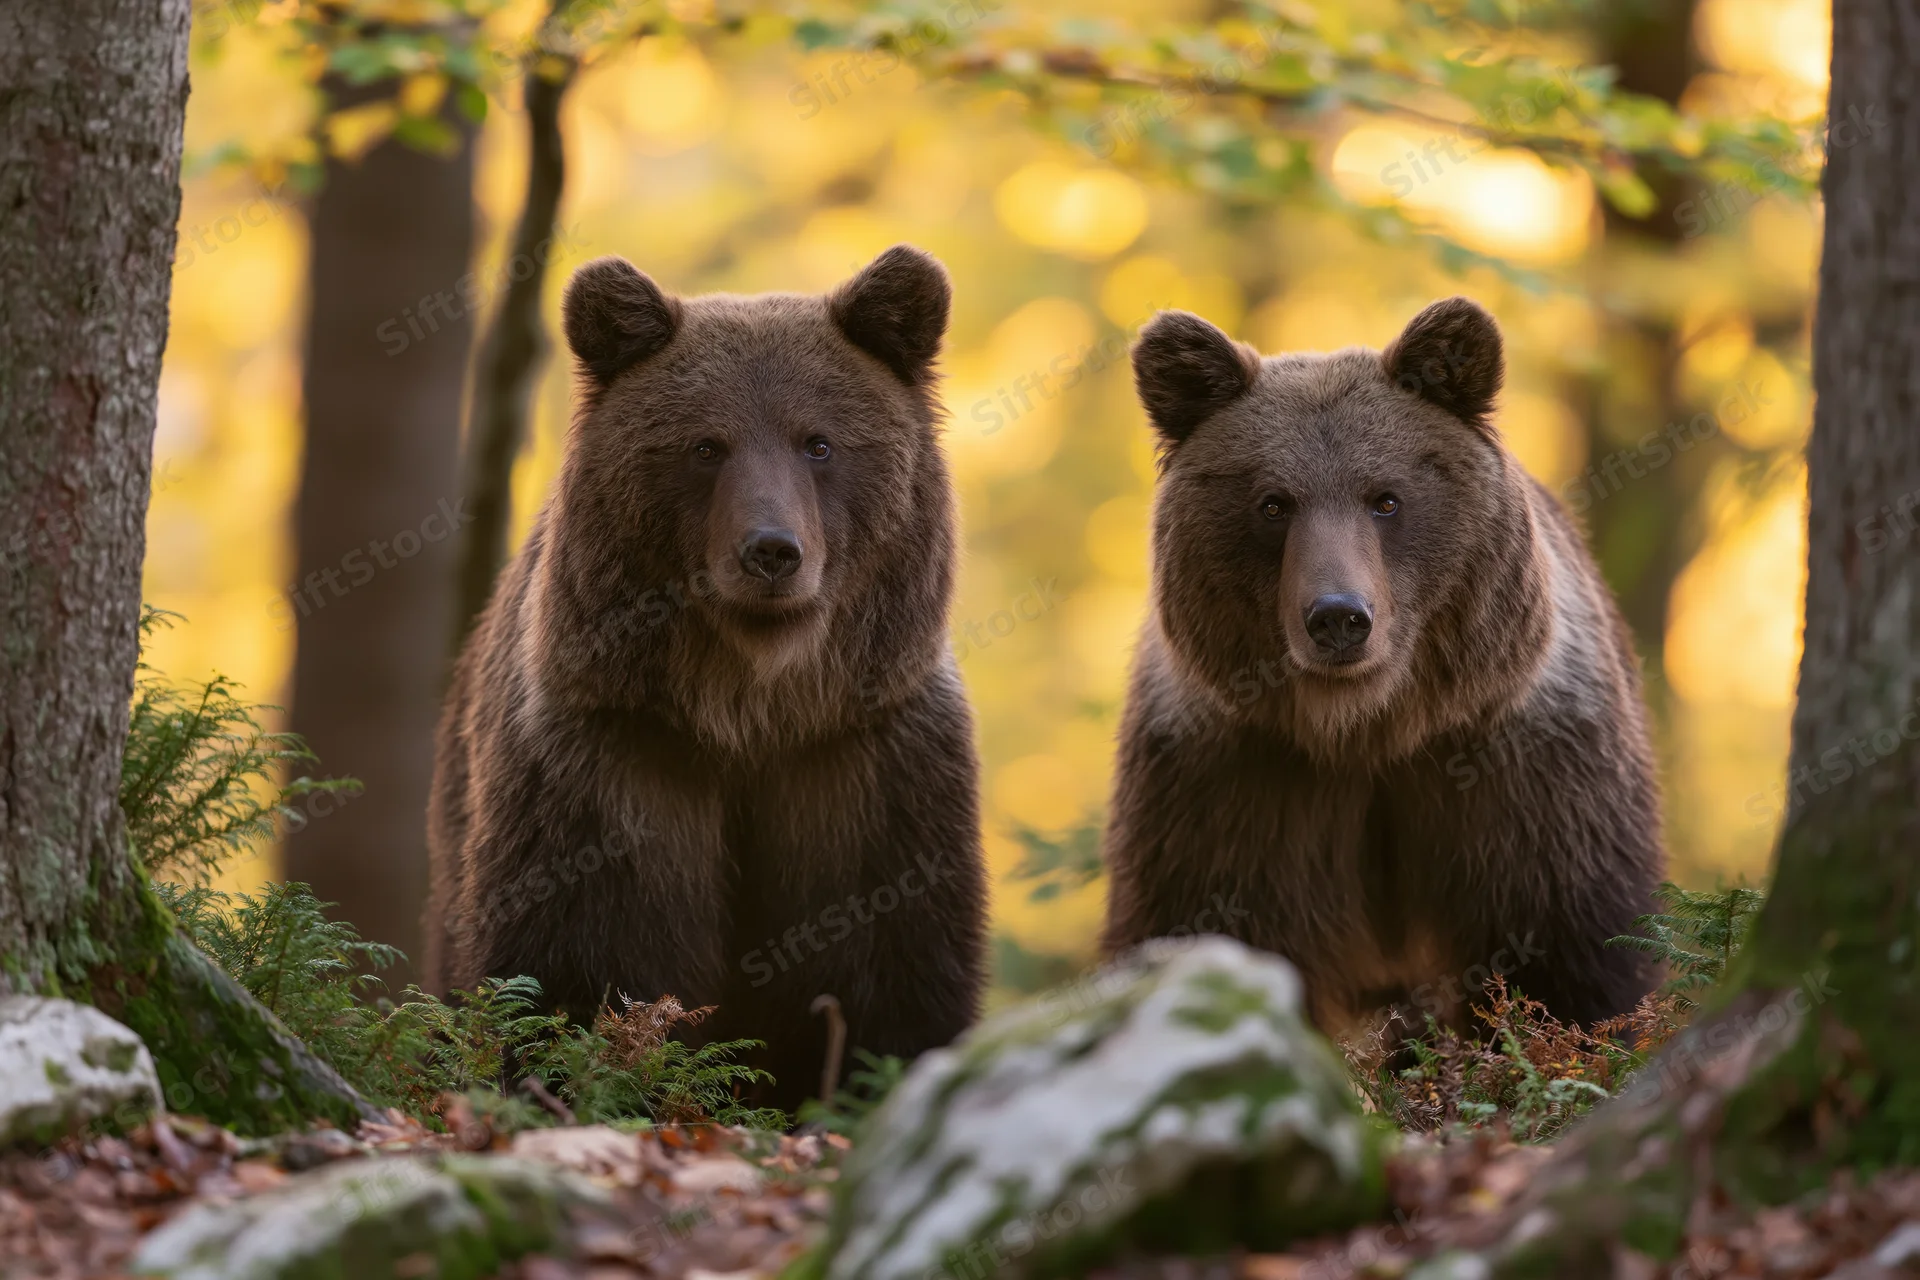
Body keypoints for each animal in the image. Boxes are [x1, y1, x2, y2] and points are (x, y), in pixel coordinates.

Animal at [426, 246, 988, 1114]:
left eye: (818, 442)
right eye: (705, 445)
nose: (772, 549)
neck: (749, 707)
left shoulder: (862, 754)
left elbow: (892, 955)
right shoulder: (617, 752)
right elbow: (588, 952)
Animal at [1101, 297, 1663, 1035]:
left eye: (1386, 498)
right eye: (1273, 503)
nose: (1338, 616)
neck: (1367, 730)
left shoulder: (1523, 771)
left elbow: (1576, 947)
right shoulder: (1231, 785)